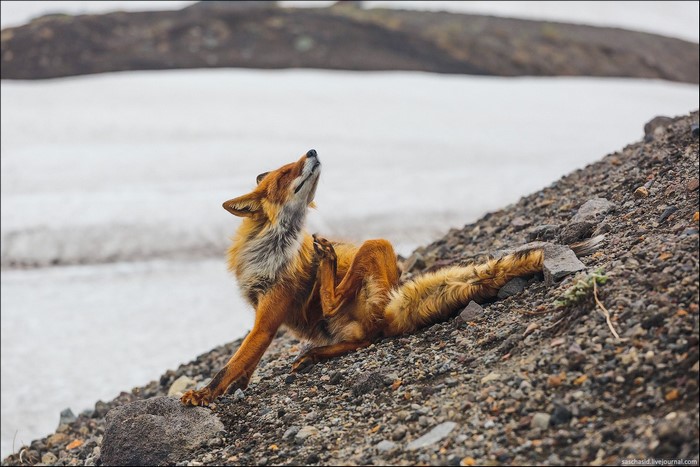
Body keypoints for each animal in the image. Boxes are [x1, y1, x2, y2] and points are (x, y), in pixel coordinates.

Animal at [181, 149, 599, 406]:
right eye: (286, 172)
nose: (312, 151)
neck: (272, 249)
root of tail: (395, 303)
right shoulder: (260, 311)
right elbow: (245, 364)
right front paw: (235, 387)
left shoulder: (270, 315)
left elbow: (231, 363)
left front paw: (204, 395)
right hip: (347, 319)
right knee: (361, 340)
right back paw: (314, 353)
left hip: (375, 247)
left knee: (357, 323)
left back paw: (326, 265)